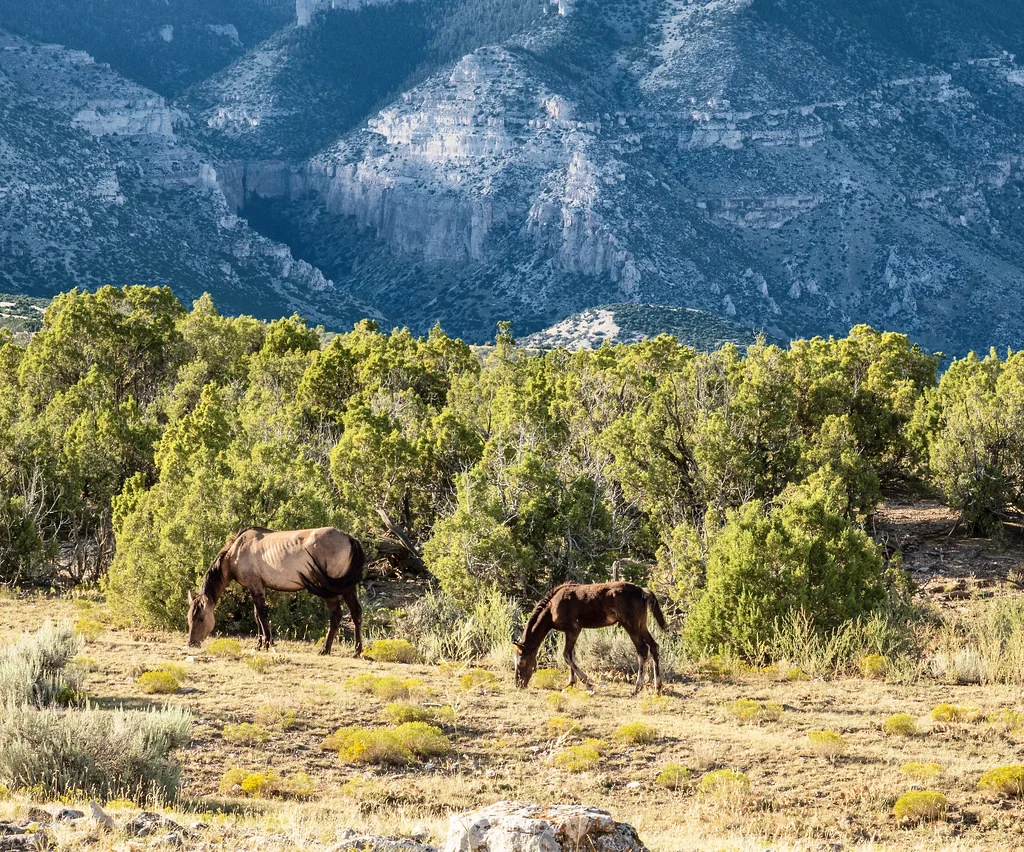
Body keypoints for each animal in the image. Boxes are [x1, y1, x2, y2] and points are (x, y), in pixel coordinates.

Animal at [187, 526, 365, 656]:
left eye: (201, 619)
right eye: (189, 618)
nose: (191, 643)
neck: (236, 551)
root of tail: (350, 539)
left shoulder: (255, 585)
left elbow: (262, 615)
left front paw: (267, 643)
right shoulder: (258, 586)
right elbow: (257, 616)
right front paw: (259, 644)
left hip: (333, 589)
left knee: (337, 615)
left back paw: (329, 649)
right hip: (346, 586)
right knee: (355, 612)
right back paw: (353, 650)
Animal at [513, 581, 667, 694]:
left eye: (522, 662)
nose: (518, 684)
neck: (551, 609)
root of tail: (643, 592)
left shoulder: (575, 628)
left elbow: (566, 655)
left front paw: (588, 684)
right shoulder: (567, 631)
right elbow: (572, 655)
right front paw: (570, 683)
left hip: (631, 624)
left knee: (642, 649)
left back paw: (637, 688)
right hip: (642, 624)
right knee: (654, 646)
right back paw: (657, 688)